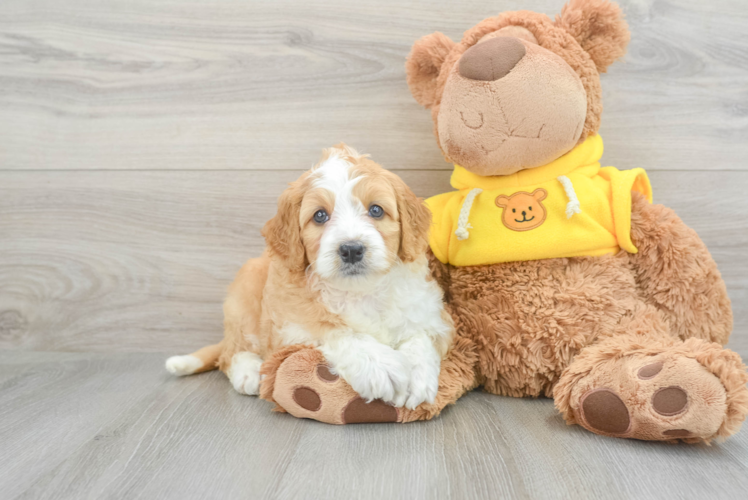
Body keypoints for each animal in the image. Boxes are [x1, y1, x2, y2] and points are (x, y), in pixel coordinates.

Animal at [166, 145, 452, 410]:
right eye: (320, 215)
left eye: (376, 210)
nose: (351, 249)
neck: (360, 291)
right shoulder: (291, 324)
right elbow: (335, 329)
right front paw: (380, 366)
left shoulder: (427, 309)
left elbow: (420, 334)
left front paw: (416, 374)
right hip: (244, 296)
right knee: (230, 351)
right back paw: (248, 372)